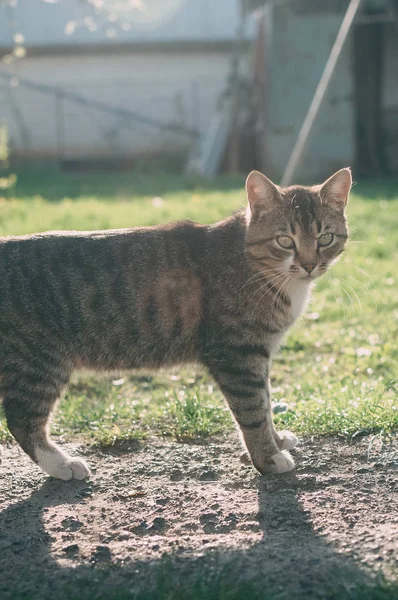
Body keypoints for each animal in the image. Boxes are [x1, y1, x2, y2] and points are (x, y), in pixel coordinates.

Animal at [0, 166, 350, 480]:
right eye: (285, 241)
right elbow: (253, 410)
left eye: (325, 238)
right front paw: (268, 458)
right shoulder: (236, 353)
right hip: (38, 363)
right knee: (22, 421)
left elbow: (265, 401)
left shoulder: (257, 353)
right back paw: (61, 464)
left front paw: (276, 441)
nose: (309, 265)